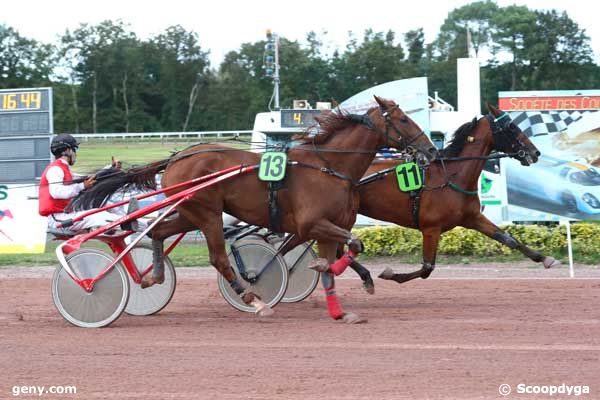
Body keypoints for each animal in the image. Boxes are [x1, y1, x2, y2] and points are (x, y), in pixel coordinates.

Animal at [72, 98, 438, 324]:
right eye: (404, 119)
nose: (432, 150)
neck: (330, 167)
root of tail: (177, 157)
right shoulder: (312, 224)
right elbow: (353, 245)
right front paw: (328, 270)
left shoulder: (328, 226)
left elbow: (340, 259)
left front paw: (340, 307)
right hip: (207, 213)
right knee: (219, 258)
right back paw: (254, 300)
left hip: (189, 211)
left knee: (160, 232)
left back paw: (152, 277)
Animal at [324, 104, 556, 290]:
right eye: (511, 127)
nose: (535, 153)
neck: (454, 175)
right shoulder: (431, 228)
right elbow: (427, 268)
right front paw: (392, 274)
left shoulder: (473, 218)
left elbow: (508, 239)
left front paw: (545, 258)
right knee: (340, 249)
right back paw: (365, 277)